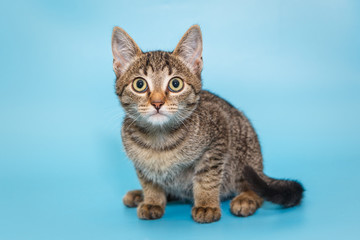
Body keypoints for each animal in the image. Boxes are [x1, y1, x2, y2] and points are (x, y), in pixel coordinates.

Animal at [112, 24, 304, 223]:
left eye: (175, 84)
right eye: (140, 85)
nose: (157, 103)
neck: (159, 139)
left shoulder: (219, 135)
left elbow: (207, 178)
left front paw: (206, 205)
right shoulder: (140, 163)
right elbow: (149, 180)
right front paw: (152, 200)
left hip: (243, 155)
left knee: (256, 189)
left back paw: (246, 198)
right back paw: (139, 195)